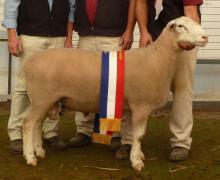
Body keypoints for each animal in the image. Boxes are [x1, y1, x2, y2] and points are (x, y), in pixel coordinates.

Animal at [22, 17, 208, 172]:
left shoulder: (135, 106)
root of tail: (29, 62)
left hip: (43, 100)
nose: (205, 37)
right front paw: (136, 161)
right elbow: (139, 135)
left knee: (36, 124)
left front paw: (137, 154)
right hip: (41, 98)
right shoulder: (141, 105)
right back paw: (30, 158)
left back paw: (39, 152)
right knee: (28, 123)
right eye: (181, 26)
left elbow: (135, 134)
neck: (156, 58)